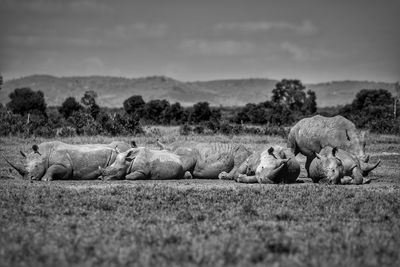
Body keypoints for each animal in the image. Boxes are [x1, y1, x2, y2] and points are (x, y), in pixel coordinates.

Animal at [3, 140, 132, 182]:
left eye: (36, 166)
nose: (29, 179)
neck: (44, 153)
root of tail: (117, 150)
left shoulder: (65, 167)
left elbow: (53, 168)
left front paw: (45, 179)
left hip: (114, 155)